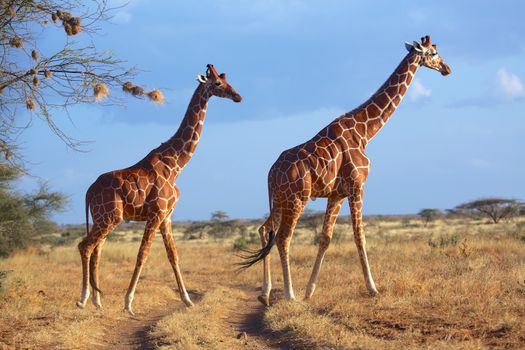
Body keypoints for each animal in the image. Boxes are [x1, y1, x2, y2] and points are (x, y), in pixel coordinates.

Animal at [75, 64, 242, 316]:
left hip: (102, 219)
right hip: (109, 218)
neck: (176, 164)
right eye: (218, 84)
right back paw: (83, 299)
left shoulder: (167, 215)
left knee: (96, 249)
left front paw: (187, 300)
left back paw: (97, 301)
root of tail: (88, 191)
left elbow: (173, 255)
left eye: (226, 80)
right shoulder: (155, 214)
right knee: (85, 246)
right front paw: (128, 303)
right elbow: (142, 255)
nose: (238, 97)